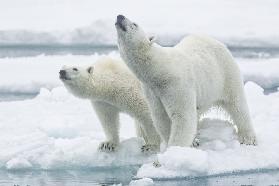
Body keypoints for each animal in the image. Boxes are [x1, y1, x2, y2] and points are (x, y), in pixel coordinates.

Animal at [116, 14, 258, 148]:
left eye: (134, 24)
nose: (119, 16)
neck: (159, 70)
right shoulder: (152, 92)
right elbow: (161, 118)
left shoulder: (177, 85)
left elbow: (183, 117)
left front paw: (172, 151)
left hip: (226, 73)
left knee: (237, 104)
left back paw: (248, 138)